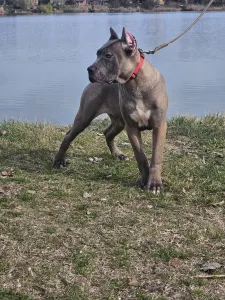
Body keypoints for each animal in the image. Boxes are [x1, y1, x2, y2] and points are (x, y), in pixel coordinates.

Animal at [54, 27, 167, 192]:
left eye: (108, 55)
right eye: (97, 54)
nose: (89, 69)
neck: (135, 82)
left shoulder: (159, 125)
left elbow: (156, 156)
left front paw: (154, 184)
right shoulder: (132, 127)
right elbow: (140, 156)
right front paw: (145, 180)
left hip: (119, 122)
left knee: (107, 133)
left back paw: (117, 154)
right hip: (85, 117)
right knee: (69, 135)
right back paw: (59, 161)